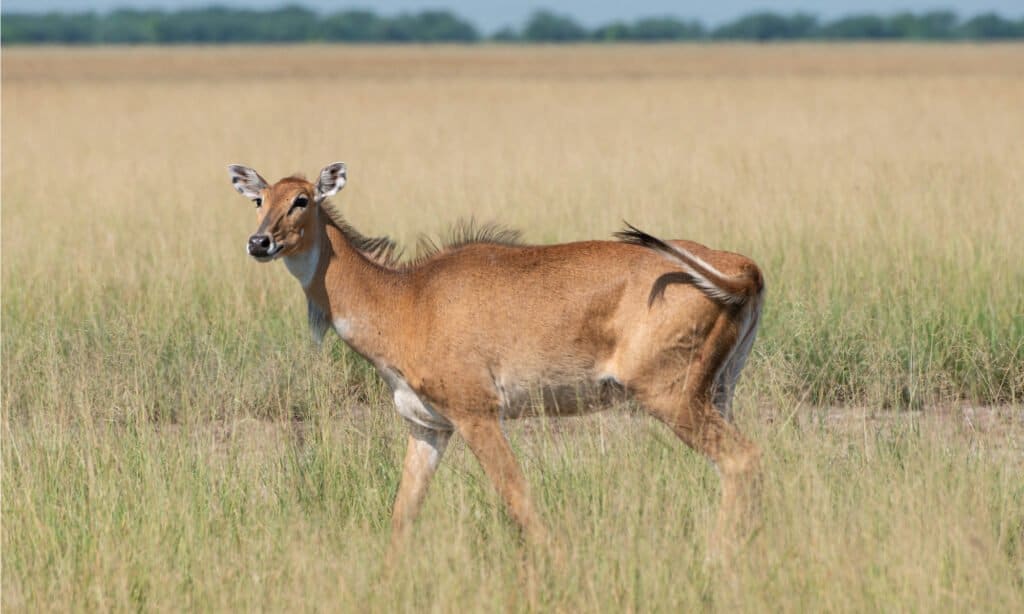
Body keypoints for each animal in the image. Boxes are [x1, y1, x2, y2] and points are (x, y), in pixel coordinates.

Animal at [228, 161, 765, 548]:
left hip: (671, 397)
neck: (406, 299)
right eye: (259, 199)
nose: (259, 242)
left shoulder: (478, 415)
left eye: (301, 200)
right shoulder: (428, 427)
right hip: (718, 392)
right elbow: (402, 515)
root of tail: (742, 268)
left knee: (742, 459)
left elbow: (519, 500)